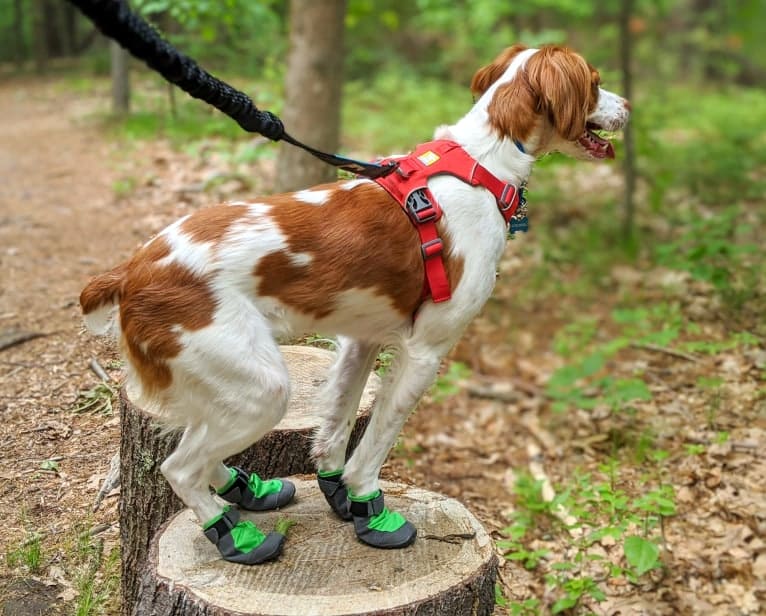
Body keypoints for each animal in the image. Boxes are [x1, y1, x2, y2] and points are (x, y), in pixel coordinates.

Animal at [79, 45, 632, 556]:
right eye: (595, 82)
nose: (629, 105)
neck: (483, 163)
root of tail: (131, 270)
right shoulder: (425, 350)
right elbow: (378, 438)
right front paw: (371, 507)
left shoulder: (361, 338)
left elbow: (338, 421)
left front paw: (337, 492)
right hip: (260, 386)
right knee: (179, 466)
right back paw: (234, 535)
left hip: (222, 381)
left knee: (196, 445)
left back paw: (247, 489)